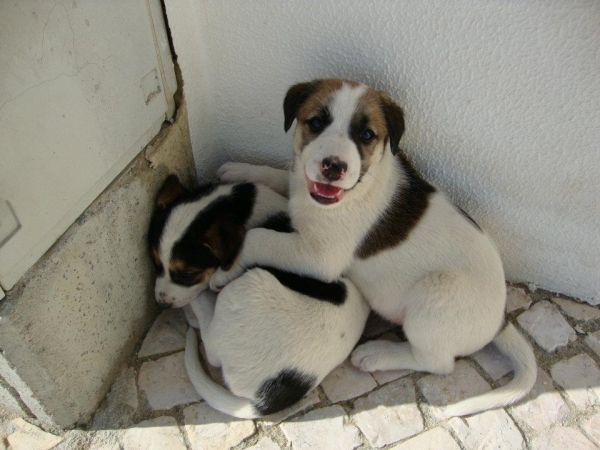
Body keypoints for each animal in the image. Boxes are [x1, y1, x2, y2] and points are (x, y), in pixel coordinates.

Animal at [149, 175, 370, 418]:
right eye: (156, 264)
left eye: (188, 274)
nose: (162, 303)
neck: (242, 205)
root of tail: (262, 400)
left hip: (247, 287)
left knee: (210, 345)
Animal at [213, 78, 536, 418]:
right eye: (316, 123)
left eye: (366, 135)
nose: (334, 167)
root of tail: (501, 319)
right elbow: (278, 174)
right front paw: (240, 170)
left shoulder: (318, 258)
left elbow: (256, 238)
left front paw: (224, 271)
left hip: (437, 292)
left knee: (436, 362)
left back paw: (377, 354)